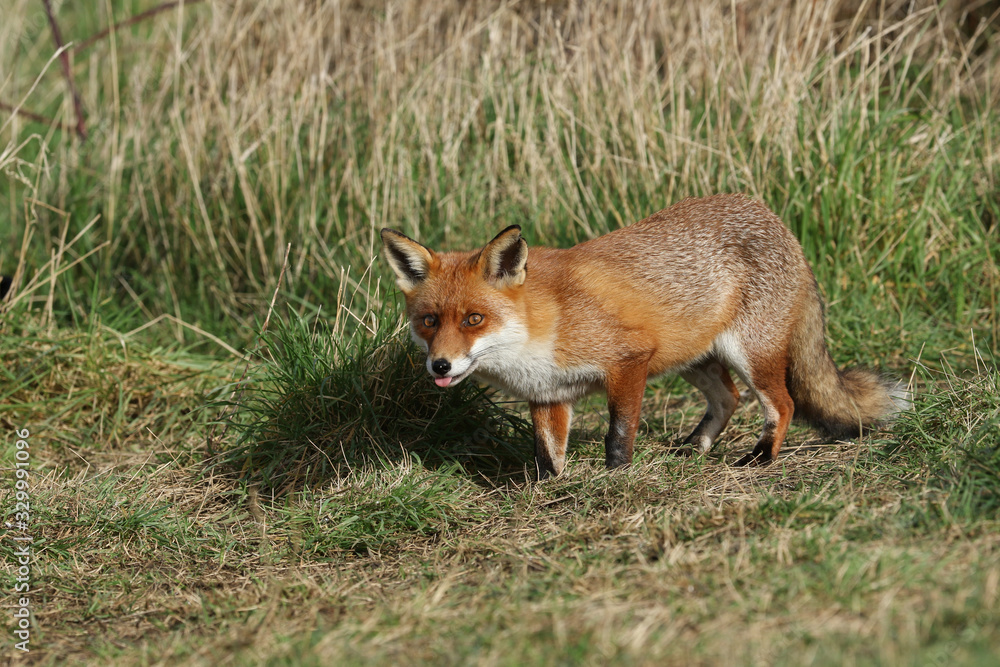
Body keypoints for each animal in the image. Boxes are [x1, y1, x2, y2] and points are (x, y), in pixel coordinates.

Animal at [378, 196, 912, 478]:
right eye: (429, 321)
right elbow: (547, 454)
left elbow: (618, 434)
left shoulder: (628, 362)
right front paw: (549, 491)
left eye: (473, 319)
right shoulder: (549, 395)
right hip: (694, 357)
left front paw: (616, 478)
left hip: (750, 355)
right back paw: (696, 447)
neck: (544, 323)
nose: (440, 366)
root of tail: (773, 217)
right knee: (729, 398)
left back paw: (759, 458)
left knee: (782, 404)